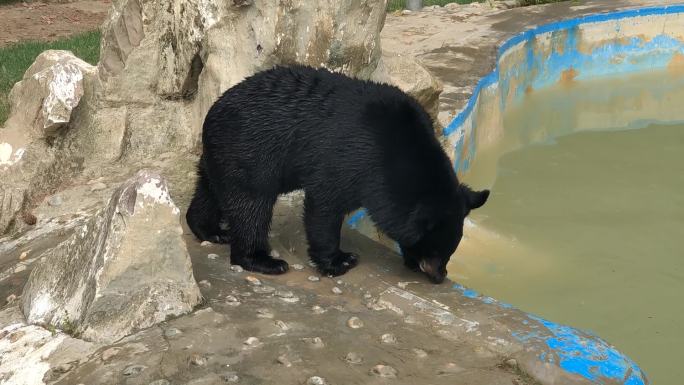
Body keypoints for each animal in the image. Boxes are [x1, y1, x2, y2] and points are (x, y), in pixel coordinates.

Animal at [186, 65, 486, 282]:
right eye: (435, 249)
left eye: (450, 250)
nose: (440, 275)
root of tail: (210, 113)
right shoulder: (351, 157)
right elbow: (325, 205)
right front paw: (340, 260)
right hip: (249, 152)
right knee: (251, 206)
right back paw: (265, 260)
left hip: (223, 156)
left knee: (211, 189)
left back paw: (210, 230)